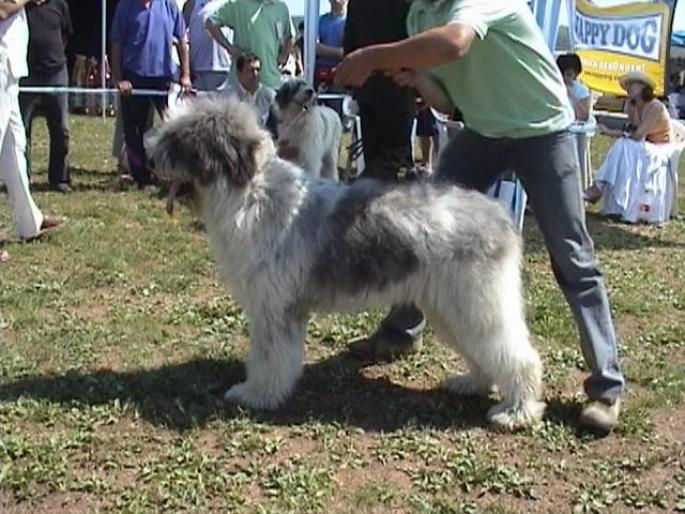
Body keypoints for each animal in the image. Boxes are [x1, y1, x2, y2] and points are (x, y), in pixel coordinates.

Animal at [148, 96, 544, 428]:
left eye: (179, 139)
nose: (149, 155)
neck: (251, 195)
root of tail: (499, 214)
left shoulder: (275, 309)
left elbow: (271, 357)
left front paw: (258, 394)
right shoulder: (269, 308)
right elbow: (265, 354)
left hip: (476, 303)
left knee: (517, 355)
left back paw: (517, 411)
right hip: (452, 308)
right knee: (484, 353)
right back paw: (472, 383)